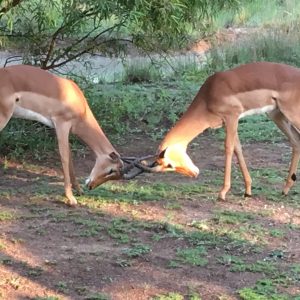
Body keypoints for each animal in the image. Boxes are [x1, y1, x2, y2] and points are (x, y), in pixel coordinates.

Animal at [0, 65, 123, 206]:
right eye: (111, 170)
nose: (90, 186)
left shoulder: (63, 129)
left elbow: (70, 158)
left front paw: (79, 190)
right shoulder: (62, 125)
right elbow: (64, 157)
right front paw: (71, 199)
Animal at [149, 61, 300, 200]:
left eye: (169, 164)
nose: (194, 174)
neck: (209, 94)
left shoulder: (231, 117)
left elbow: (228, 148)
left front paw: (222, 192)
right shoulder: (229, 123)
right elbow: (237, 149)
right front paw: (248, 190)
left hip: (291, 115)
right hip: (277, 115)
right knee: (296, 141)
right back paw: (285, 189)